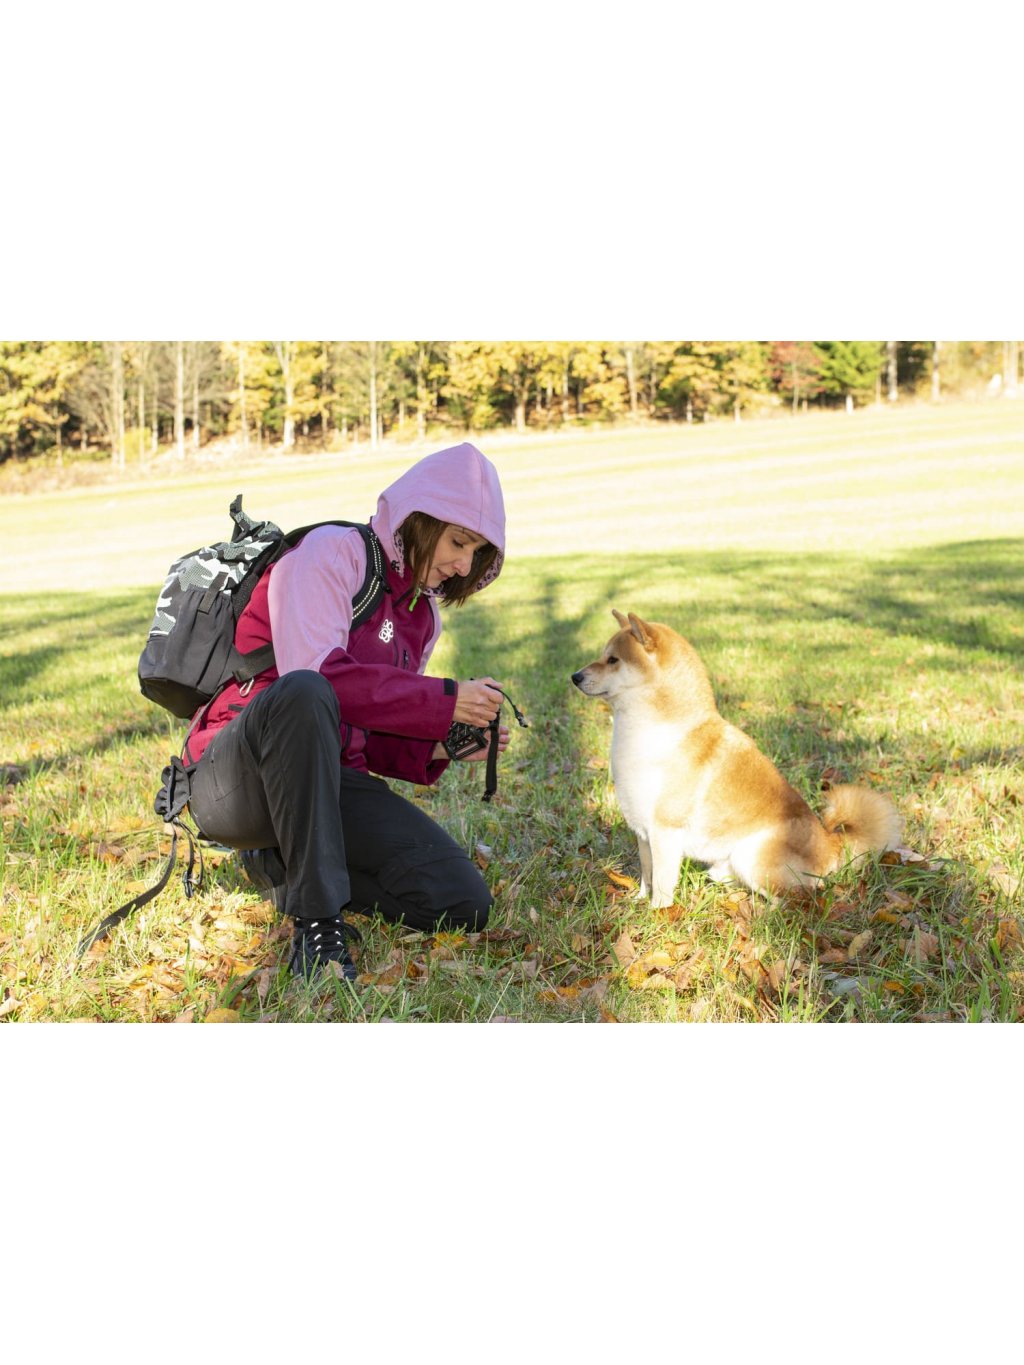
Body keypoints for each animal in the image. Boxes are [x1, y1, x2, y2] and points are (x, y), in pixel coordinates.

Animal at [573, 611, 901, 906]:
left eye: (613, 660)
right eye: (604, 656)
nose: (575, 676)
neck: (650, 730)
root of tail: (828, 845)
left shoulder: (665, 831)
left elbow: (662, 886)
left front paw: (656, 916)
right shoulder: (643, 832)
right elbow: (647, 875)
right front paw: (637, 903)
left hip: (752, 858)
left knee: (793, 898)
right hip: (726, 867)